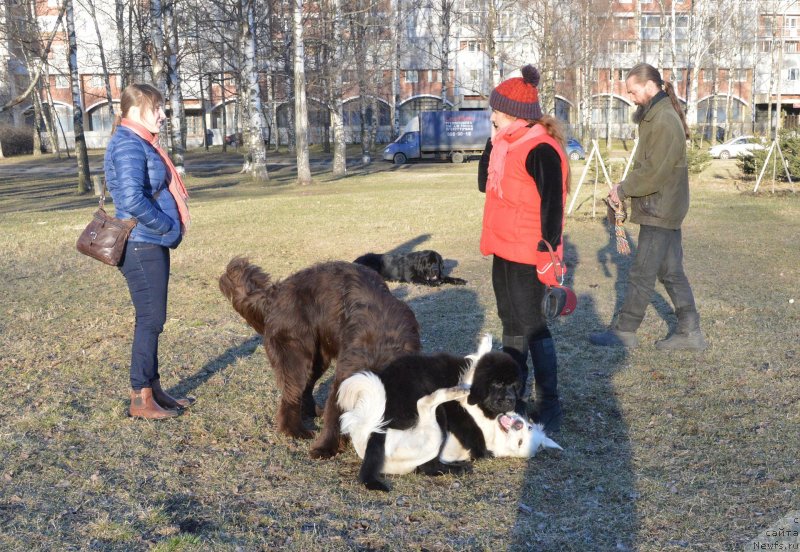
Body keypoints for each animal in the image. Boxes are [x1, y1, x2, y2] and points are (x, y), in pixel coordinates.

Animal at [216, 256, 422, 460]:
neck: (381, 348)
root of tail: (274, 293)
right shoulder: (344, 378)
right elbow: (334, 413)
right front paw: (325, 448)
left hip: (318, 358)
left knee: (306, 387)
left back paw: (311, 411)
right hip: (296, 354)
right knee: (291, 395)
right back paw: (295, 430)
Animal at [340, 334, 564, 490]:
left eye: (520, 442)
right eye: (527, 428)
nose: (510, 404)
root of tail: (369, 436)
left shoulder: (463, 411)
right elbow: (478, 359)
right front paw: (486, 344)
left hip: (436, 426)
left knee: (426, 408)